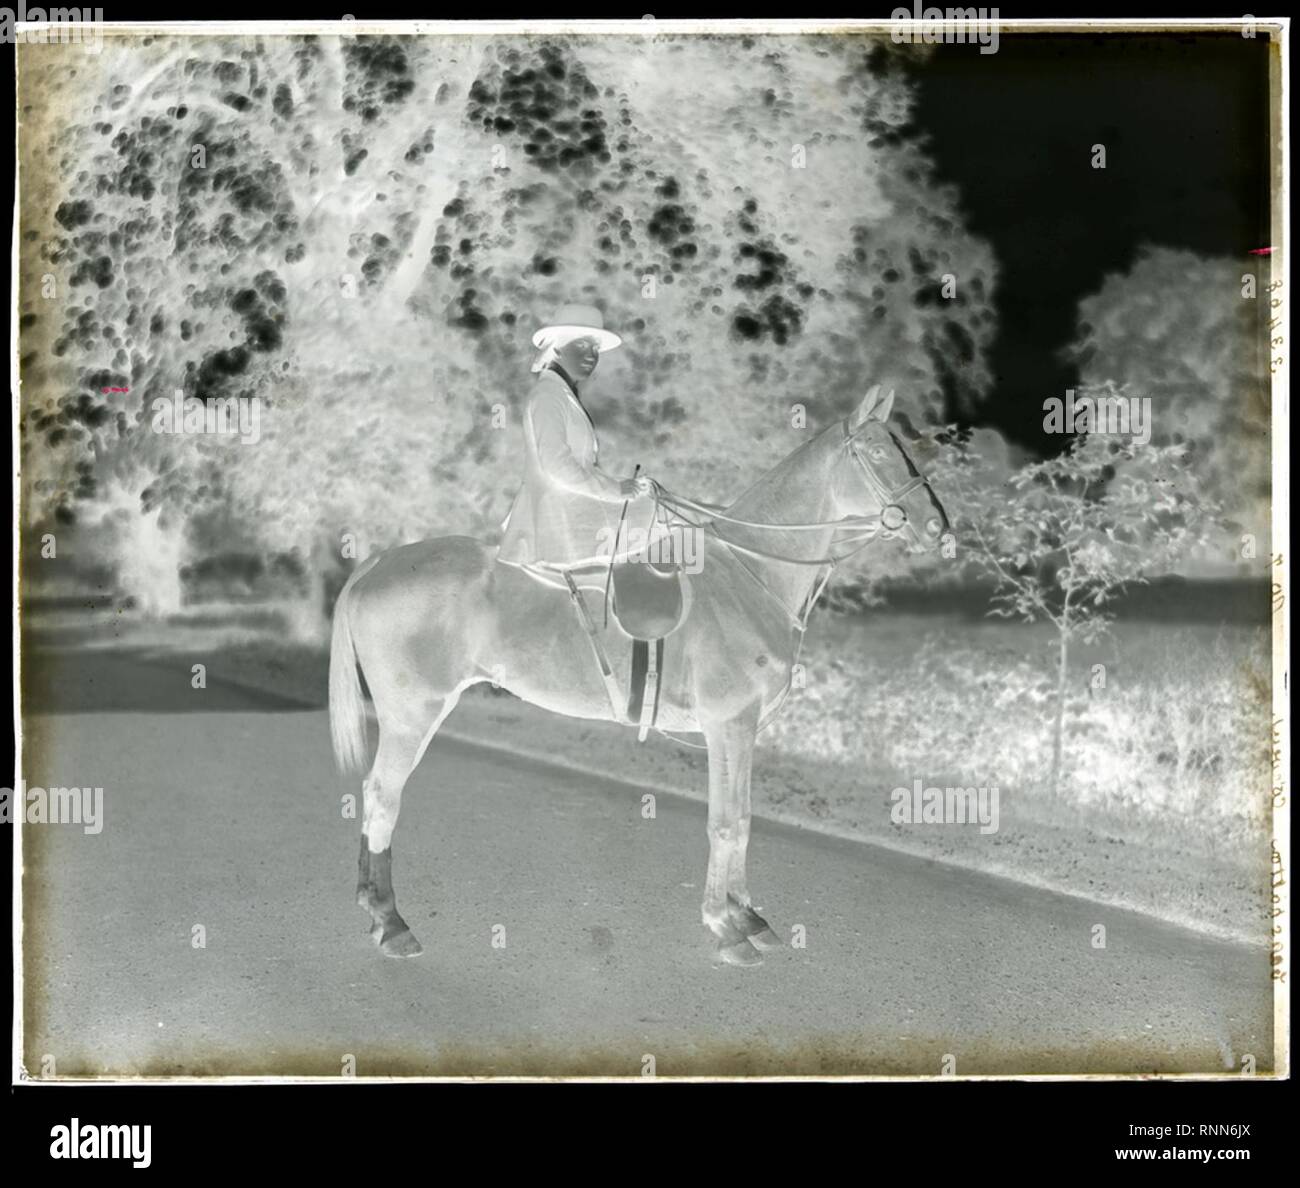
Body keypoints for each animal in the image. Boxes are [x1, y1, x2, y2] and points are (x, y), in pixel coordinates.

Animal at [330, 387, 951, 961]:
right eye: (878, 450)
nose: (938, 528)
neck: (751, 570)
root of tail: (378, 562)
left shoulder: (742, 730)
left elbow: (744, 818)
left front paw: (747, 917)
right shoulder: (728, 724)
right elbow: (726, 823)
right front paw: (726, 928)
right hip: (412, 716)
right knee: (383, 797)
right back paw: (391, 922)